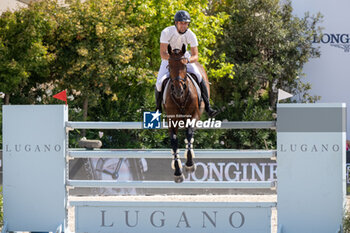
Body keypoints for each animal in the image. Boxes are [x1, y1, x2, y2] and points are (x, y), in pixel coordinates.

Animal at [164, 43, 211, 182]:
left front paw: (190, 164)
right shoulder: (171, 120)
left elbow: (189, 134)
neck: (181, 98)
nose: (178, 90)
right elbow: (174, 142)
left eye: (185, 66)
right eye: (169, 66)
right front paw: (177, 172)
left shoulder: (194, 115)